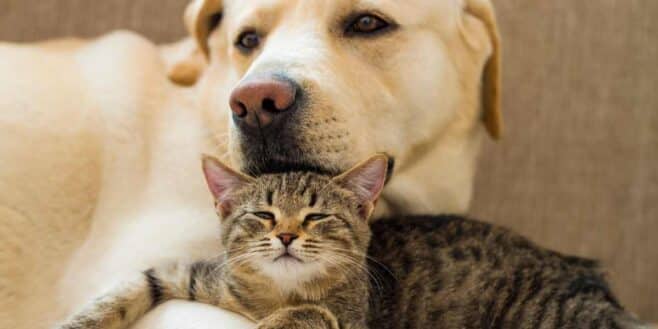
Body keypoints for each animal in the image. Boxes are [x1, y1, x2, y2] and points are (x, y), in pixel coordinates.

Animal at [59, 154, 644, 328]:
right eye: (263, 215)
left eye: (317, 216)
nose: (287, 234)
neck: (275, 294)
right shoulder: (192, 274)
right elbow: (130, 286)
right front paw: (81, 320)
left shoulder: (351, 319)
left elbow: (311, 313)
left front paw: (279, 320)